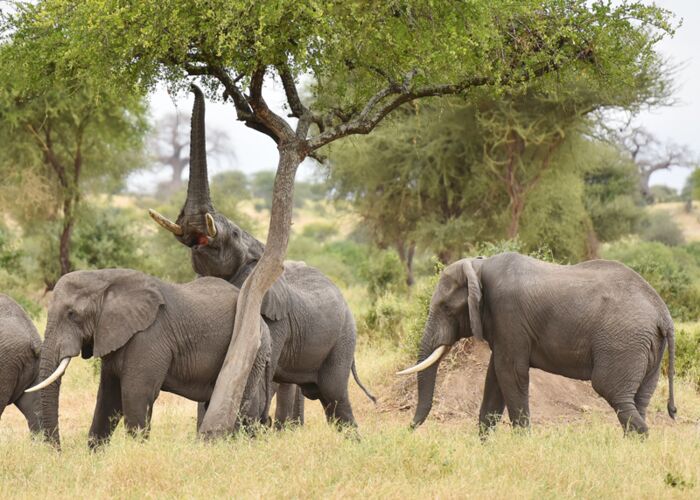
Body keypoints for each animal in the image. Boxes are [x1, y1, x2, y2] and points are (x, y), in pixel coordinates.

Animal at [28, 270, 274, 450]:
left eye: (72, 315)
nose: (57, 453)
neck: (104, 277)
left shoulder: (148, 336)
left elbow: (134, 394)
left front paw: (135, 455)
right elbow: (108, 396)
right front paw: (94, 460)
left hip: (251, 348)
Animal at [150, 84, 374, 428]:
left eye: (233, 234)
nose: (192, 86)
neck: (256, 254)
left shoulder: (271, 317)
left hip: (344, 337)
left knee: (335, 395)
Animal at [400, 252, 680, 436]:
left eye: (446, 308)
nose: (408, 430)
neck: (480, 266)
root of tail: (663, 314)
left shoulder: (508, 314)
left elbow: (510, 374)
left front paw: (522, 445)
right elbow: (495, 378)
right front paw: (484, 447)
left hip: (622, 342)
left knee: (613, 392)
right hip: (648, 348)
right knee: (638, 400)